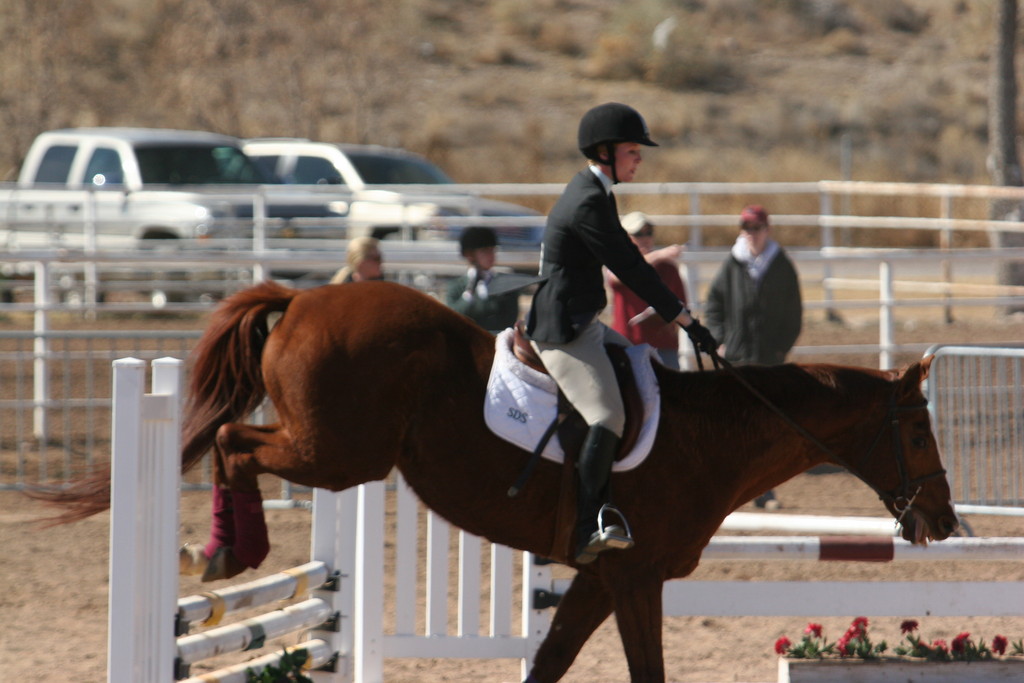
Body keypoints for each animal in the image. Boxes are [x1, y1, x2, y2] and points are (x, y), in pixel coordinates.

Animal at [49, 280, 958, 679]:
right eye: (917, 429)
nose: (944, 522)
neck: (708, 436)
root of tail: (306, 296)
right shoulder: (637, 577)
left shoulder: (601, 579)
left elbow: (549, 662)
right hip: (337, 453)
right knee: (234, 440)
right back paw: (229, 549)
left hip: (336, 453)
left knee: (232, 441)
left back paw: (225, 548)